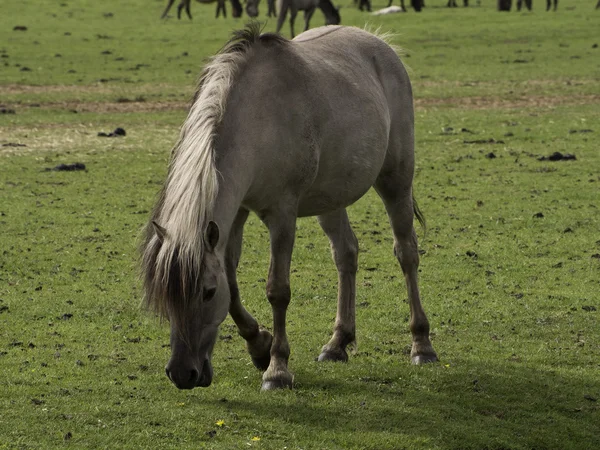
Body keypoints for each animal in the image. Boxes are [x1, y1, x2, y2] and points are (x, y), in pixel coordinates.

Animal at [142, 22, 438, 390]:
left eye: (208, 293)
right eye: (166, 295)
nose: (183, 373)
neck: (257, 118)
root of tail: (379, 42)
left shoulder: (282, 215)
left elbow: (278, 290)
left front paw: (277, 368)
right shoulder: (236, 213)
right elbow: (233, 283)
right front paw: (259, 346)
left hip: (395, 180)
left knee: (406, 253)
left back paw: (421, 346)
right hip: (331, 198)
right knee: (346, 254)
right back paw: (337, 343)